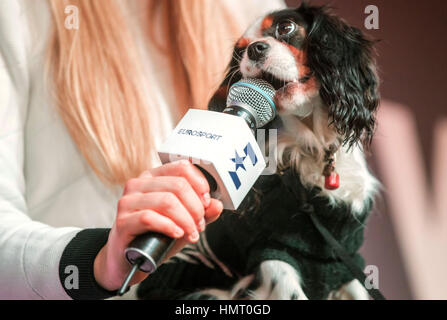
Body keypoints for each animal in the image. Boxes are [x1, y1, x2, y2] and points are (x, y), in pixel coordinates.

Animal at [136, 3, 378, 300]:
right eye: (240, 52)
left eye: (285, 27)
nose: (255, 49)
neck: (311, 147)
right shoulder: (272, 256)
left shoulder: (344, 261)